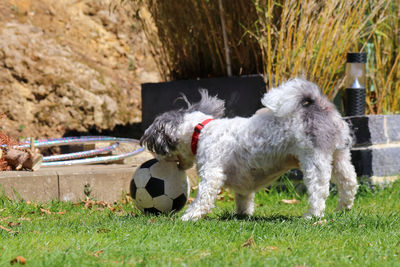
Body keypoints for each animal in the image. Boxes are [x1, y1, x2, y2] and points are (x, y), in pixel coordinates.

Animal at [141, 78, 360, 222]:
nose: (157, 157)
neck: (200, 130)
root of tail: (318, 106)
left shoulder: (212, 172)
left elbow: (203, 196)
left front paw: (190, 216)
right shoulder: (243, 181)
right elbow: (244, 197)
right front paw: (242, 214)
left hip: (314, 160)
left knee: (319, 190)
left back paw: (311, 215)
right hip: (339, 156)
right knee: (349, 182)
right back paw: (344, 207)